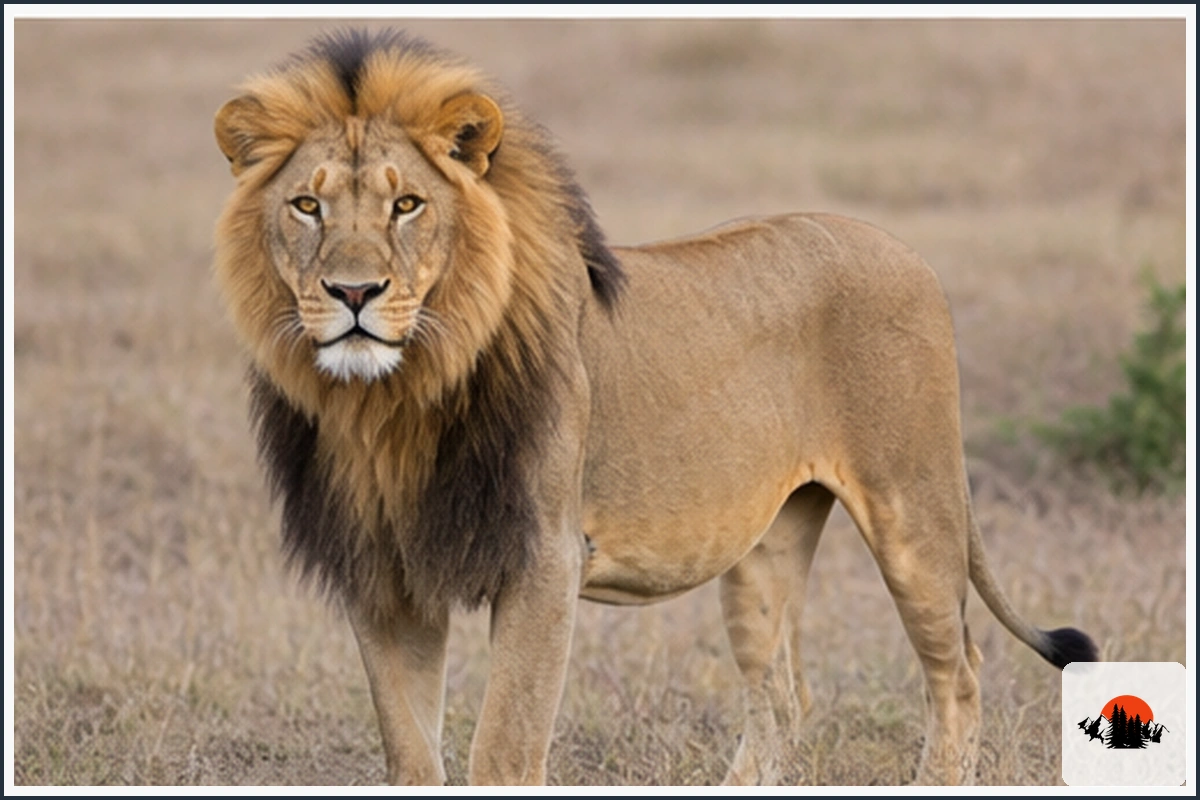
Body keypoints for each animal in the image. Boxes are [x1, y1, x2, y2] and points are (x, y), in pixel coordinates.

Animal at [213, 29, 1097, 786]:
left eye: (407, 206)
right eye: (307, 207)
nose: (353, 293)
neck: (393, 400)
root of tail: (907, 251)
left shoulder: (544, 560)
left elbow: (504, 750)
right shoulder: (384, 575)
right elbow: (411, 758)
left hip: (914, 507)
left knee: (959, 674)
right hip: (766, 549)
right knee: (783, 698)